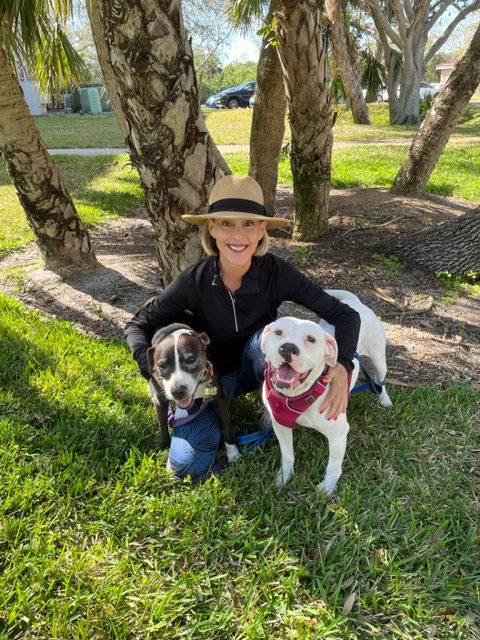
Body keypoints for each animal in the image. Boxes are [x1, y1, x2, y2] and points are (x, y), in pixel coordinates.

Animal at [146, 324, 240, 460]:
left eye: (191, 360)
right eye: (161, 365)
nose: (177, 391)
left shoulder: (219, 399)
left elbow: (226, 426)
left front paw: (233, 453)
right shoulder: (160, 401)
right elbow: (163, 427)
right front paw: (165, 448)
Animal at [260, 290, 392, 496]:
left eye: (311, 339)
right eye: (278, 332)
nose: (287, 348)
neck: (296, 397)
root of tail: (356, 303)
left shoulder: (338, 434)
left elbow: (333, 467)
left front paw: (326, 489)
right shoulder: (280, 426)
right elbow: (288, 456)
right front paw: (283, 479)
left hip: (378, 357)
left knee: (381, 380)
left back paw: (385, 400)